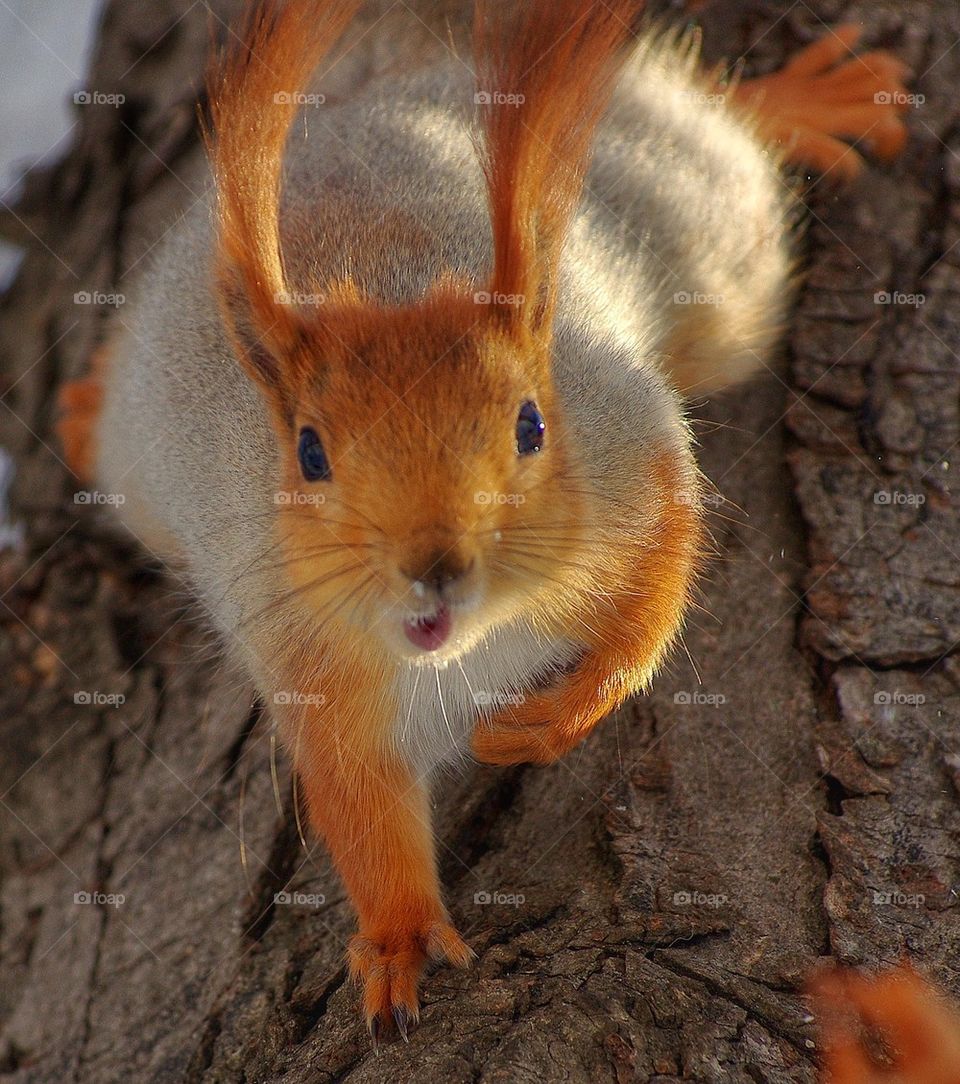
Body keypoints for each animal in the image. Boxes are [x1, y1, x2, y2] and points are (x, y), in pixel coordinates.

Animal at [56, 0, 914, 1040]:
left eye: (531, 424)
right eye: (309, 453)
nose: (435, 564)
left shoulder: (634, 459)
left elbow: (652, 603)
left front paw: (540, 725)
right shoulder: (310, 660)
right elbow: (360, 805)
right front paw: (395, 937)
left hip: (709, 259)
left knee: (715, 136)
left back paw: (797, 102)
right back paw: (80, 408)